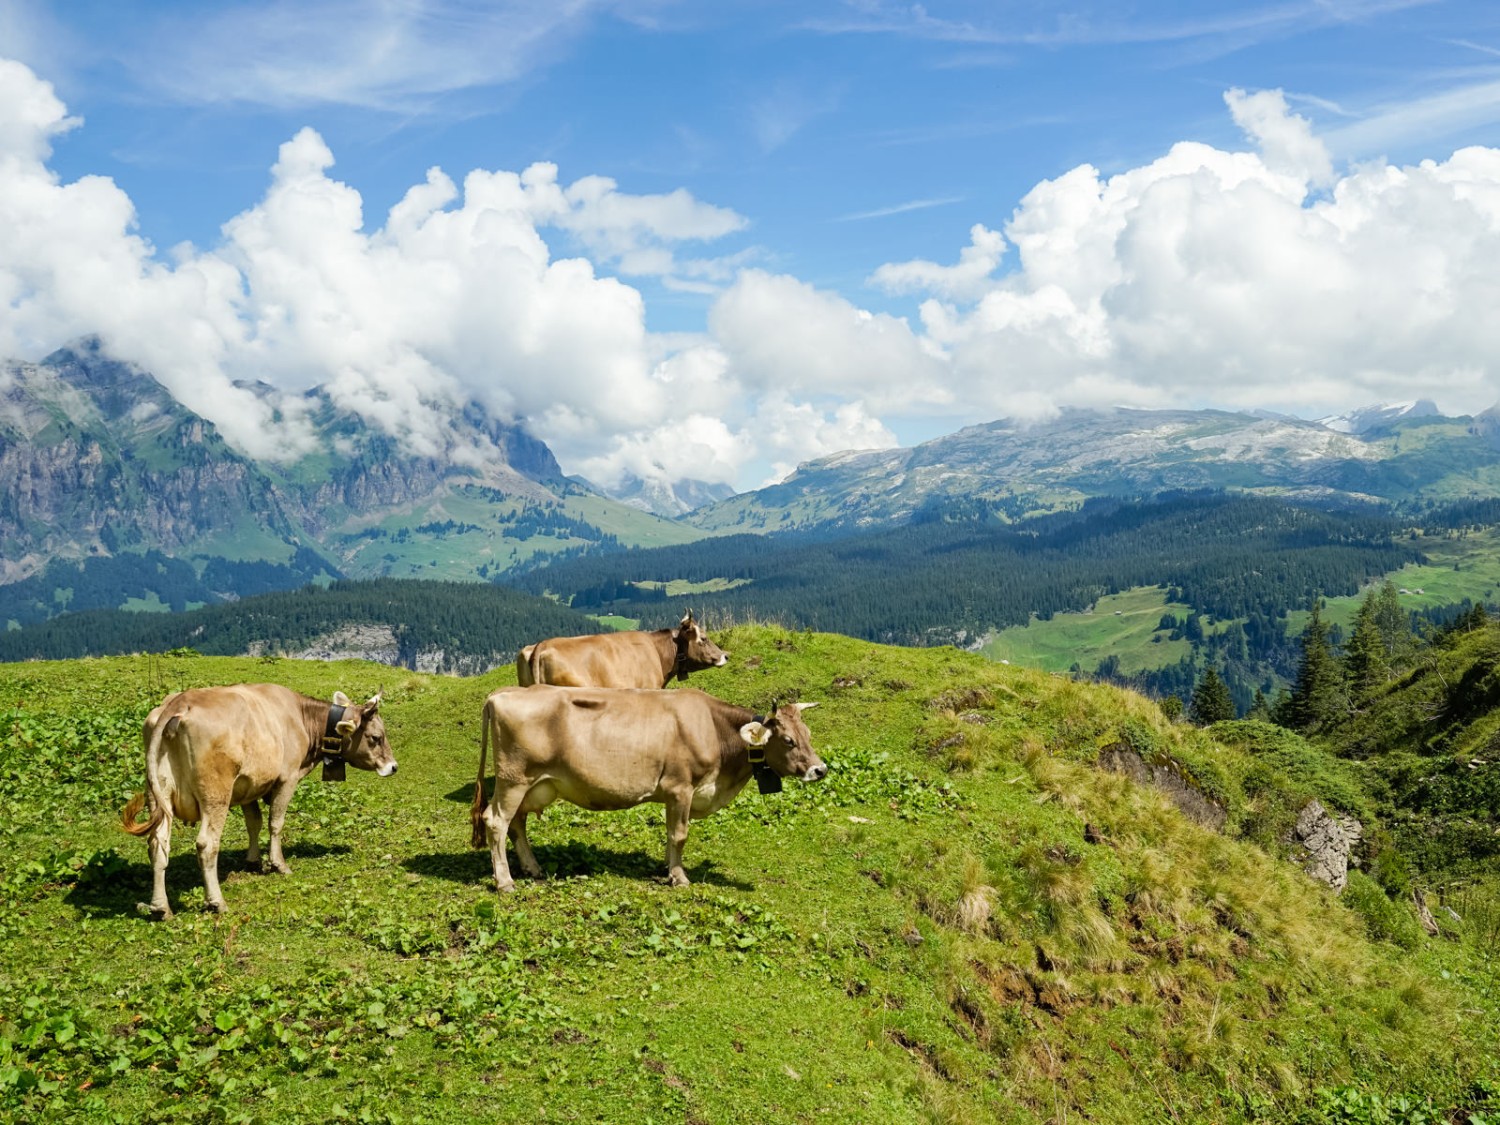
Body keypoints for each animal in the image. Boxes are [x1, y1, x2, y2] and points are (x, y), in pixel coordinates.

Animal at [121, 684, 399, 918]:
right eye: (376, 737)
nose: (393, 767)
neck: (301, 718)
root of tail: (181, 703)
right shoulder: (287, 779)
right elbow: (276, 822)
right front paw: (278, 864)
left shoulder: (248, 785)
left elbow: (253, 822)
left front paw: (253, 861)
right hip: (215, 793)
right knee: (206, 844)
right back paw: (217, 902)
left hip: (158, 793)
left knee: (157, 843)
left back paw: (160, 907)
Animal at [468, 684, 828, 894]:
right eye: (788, 740)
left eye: (808, 734)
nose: (820, 769)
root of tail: (501, 694)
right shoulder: (680, 786)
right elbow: (680, 834)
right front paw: (679, 877)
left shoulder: (673, 794)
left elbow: (670, 833)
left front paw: (667, 868)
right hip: (514, 779)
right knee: (496, 822)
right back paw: (505, 881)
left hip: (533, 784)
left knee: (517, 823)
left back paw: (532, 868)